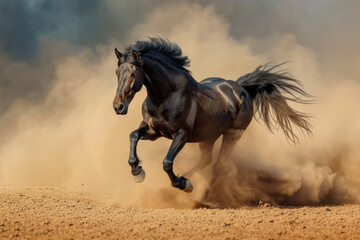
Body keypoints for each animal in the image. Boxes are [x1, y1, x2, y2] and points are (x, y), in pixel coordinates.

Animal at [112, 37, 312, 194]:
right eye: (117, 72)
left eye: (133, 73)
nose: (118, 106)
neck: (166, 95)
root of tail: (241, 89)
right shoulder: (154, 131)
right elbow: (133, 136)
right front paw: (138, 172)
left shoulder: (182, 135)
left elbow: (167, 162)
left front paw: (180, 183)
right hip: (208, 136)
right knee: (206, 159)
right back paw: (186, 181)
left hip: (232, 135)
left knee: (218, 166)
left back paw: (199, 195)